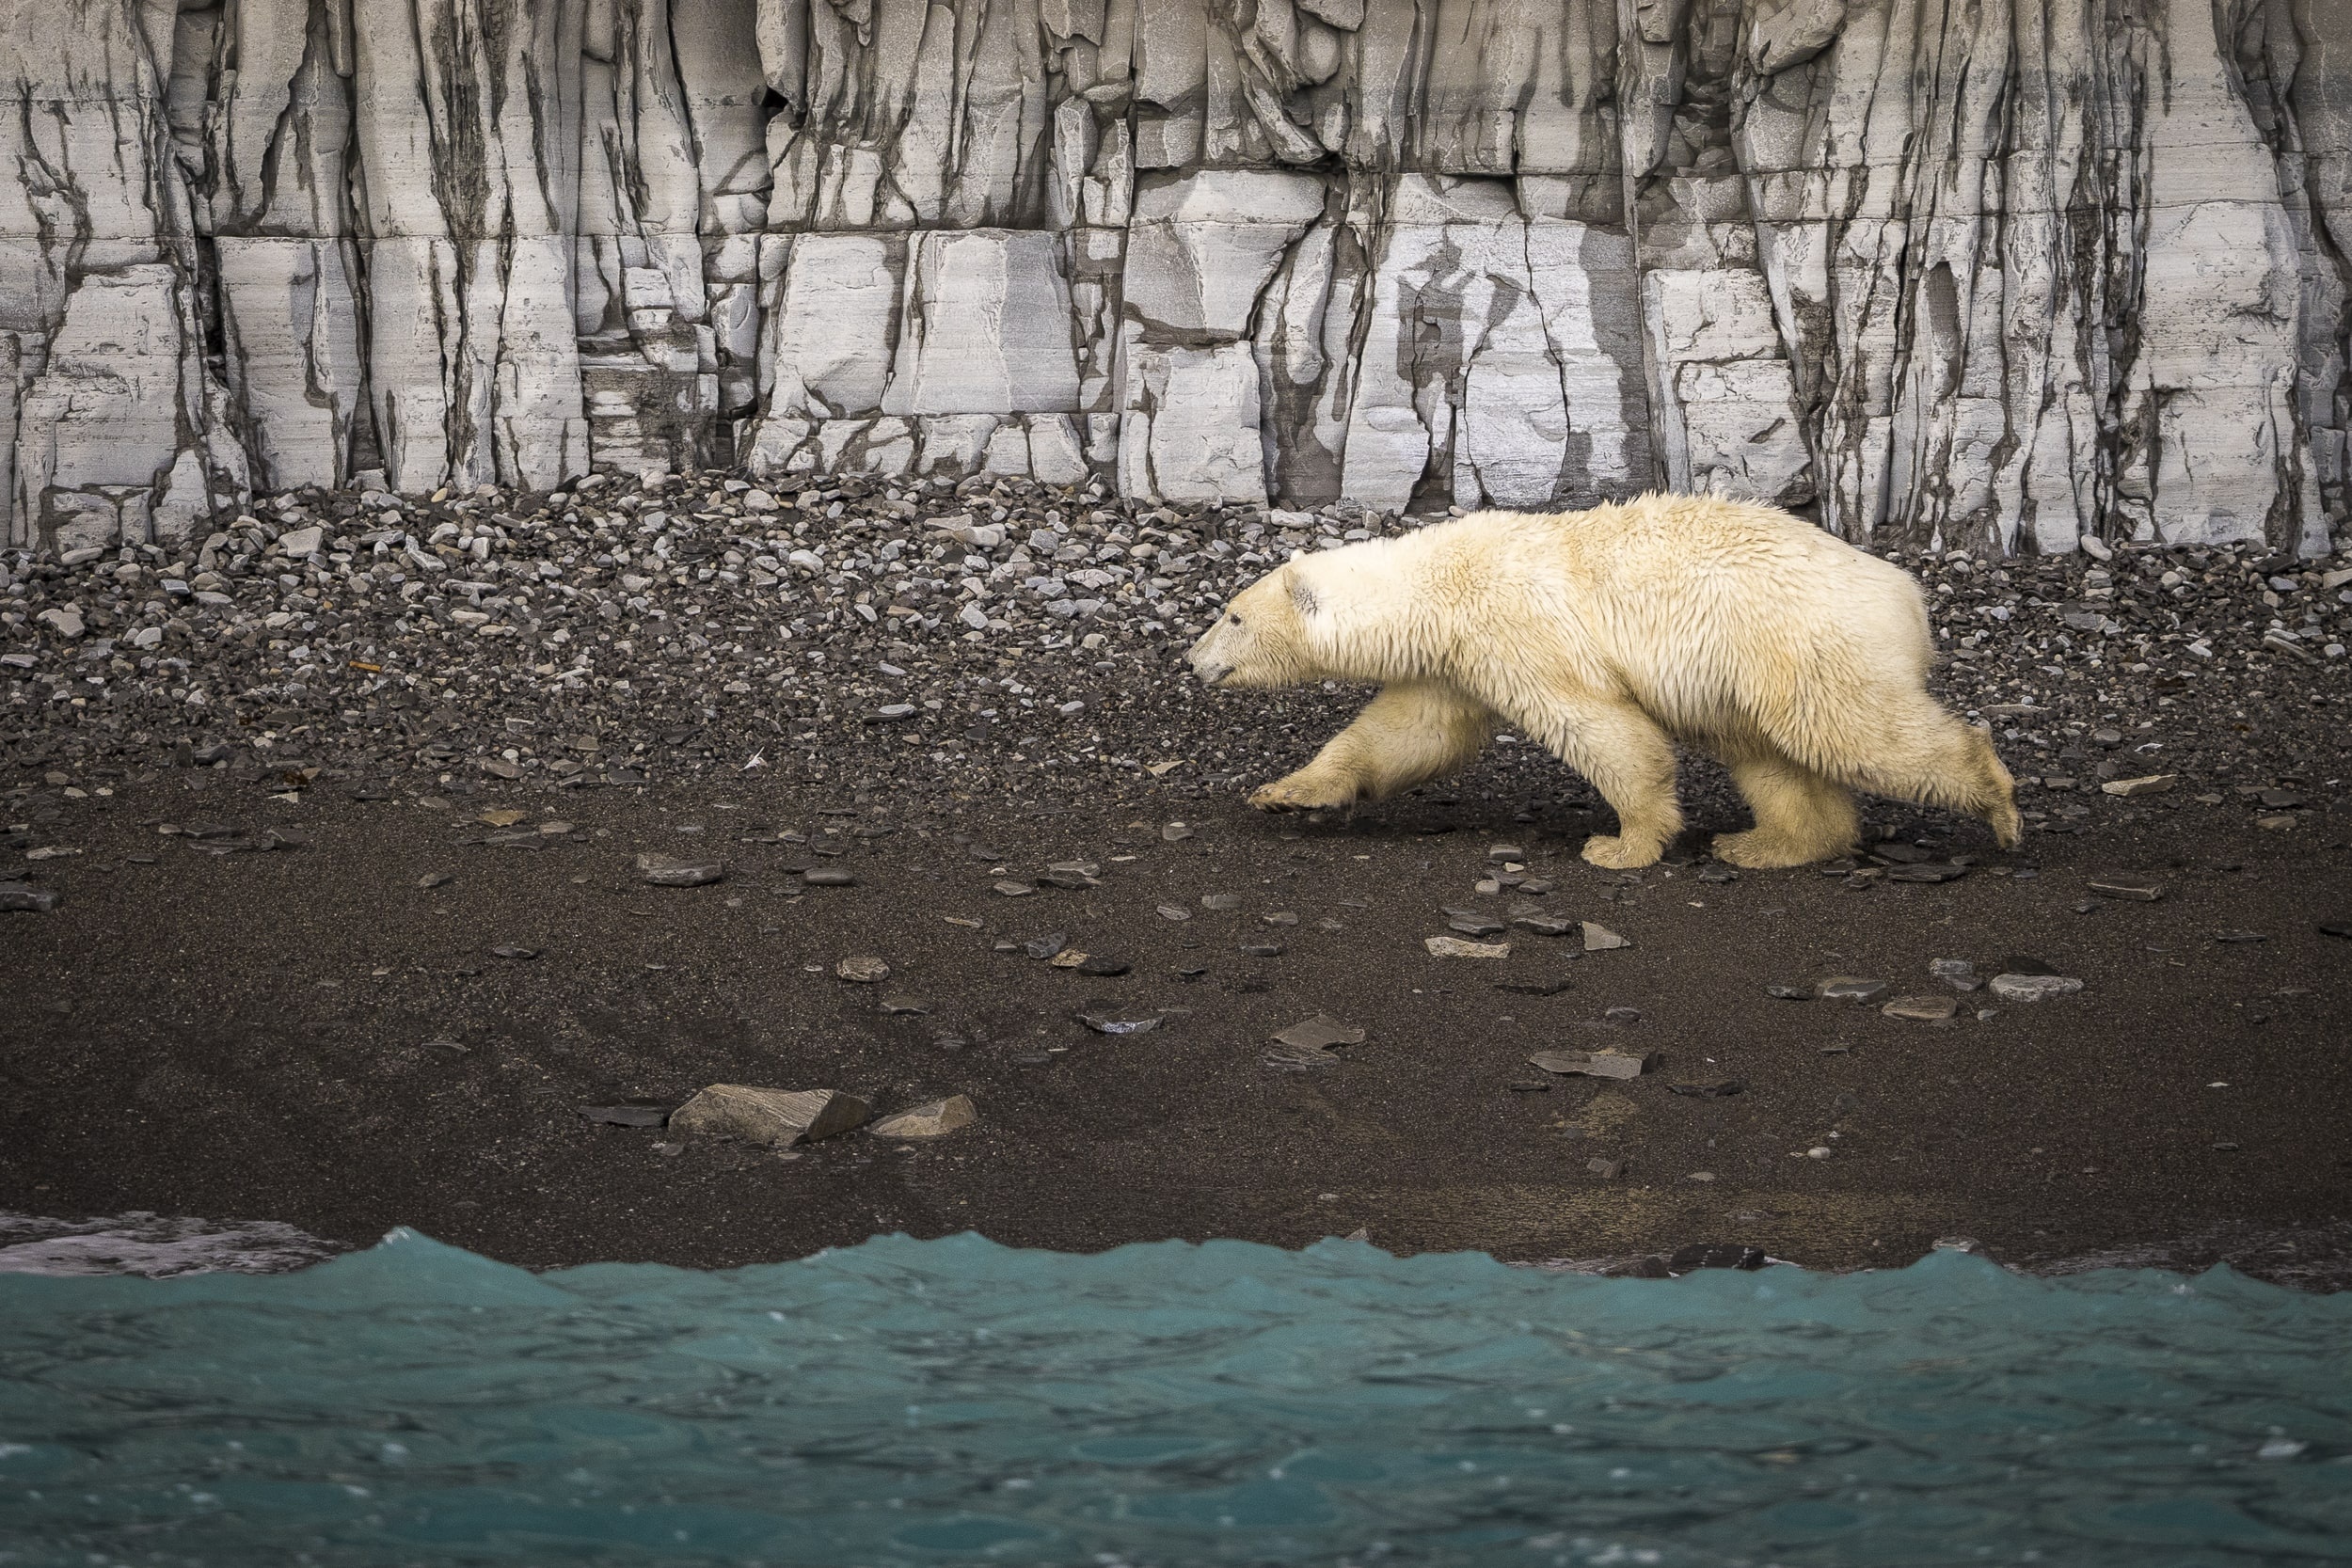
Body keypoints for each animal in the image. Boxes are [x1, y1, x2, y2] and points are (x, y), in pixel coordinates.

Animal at [1185, 493, 2032, 869]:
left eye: (1232, 615)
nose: (1191, 659)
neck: (1441, 580)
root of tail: (1908, 594)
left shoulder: (1516, 629)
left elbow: (1601, 727)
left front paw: (1620, 843)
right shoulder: (1458, 662)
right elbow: (1407, 734)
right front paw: (1284, 791)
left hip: (1799, 639)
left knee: (1853, 730)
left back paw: (1996, 799)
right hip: (1757, 673)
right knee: (1772, 756)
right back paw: (1764, 843)